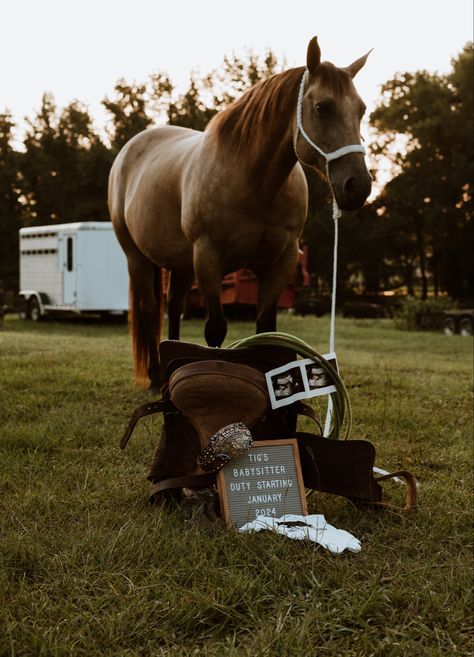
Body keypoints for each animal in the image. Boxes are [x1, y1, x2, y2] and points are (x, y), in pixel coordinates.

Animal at [109, 36, 372, 386]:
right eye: (322, 107)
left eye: (361, 109)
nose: (359, 186)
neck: (253, 181)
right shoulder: (209, 259)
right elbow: (215, 330)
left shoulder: (280, 262)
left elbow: (266, 330)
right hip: (137, 256)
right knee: (151, 310)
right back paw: (155, 377)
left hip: (182, 264)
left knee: (174, 306)